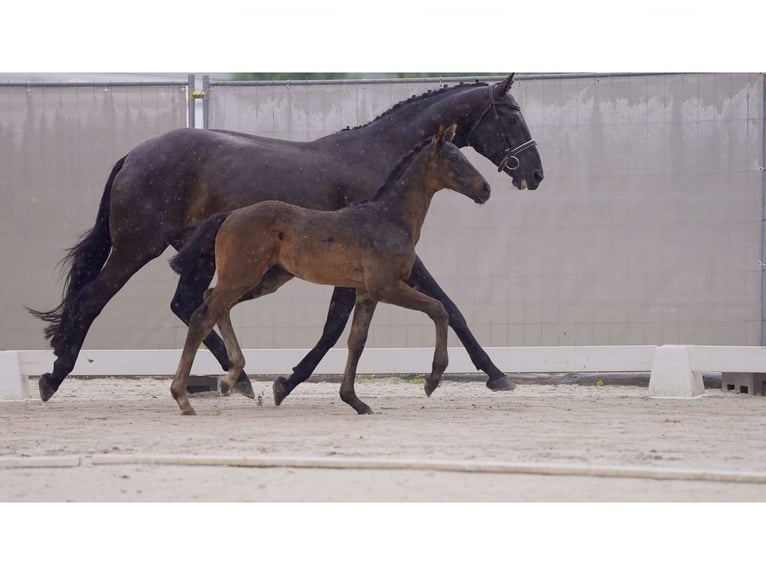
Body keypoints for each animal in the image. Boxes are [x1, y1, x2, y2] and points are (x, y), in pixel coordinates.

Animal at [30, 73, 544, 404]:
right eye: (511, 115)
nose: (535, 174)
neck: (380, 160)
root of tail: (133, 155)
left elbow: (388, 317)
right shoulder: (385, 264)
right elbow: (441, 307)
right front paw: (495, 375)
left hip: (196, 257)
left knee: (190, 304)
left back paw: (238, 380)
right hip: (137, 247)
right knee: (94, 298)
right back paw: (55, 376)